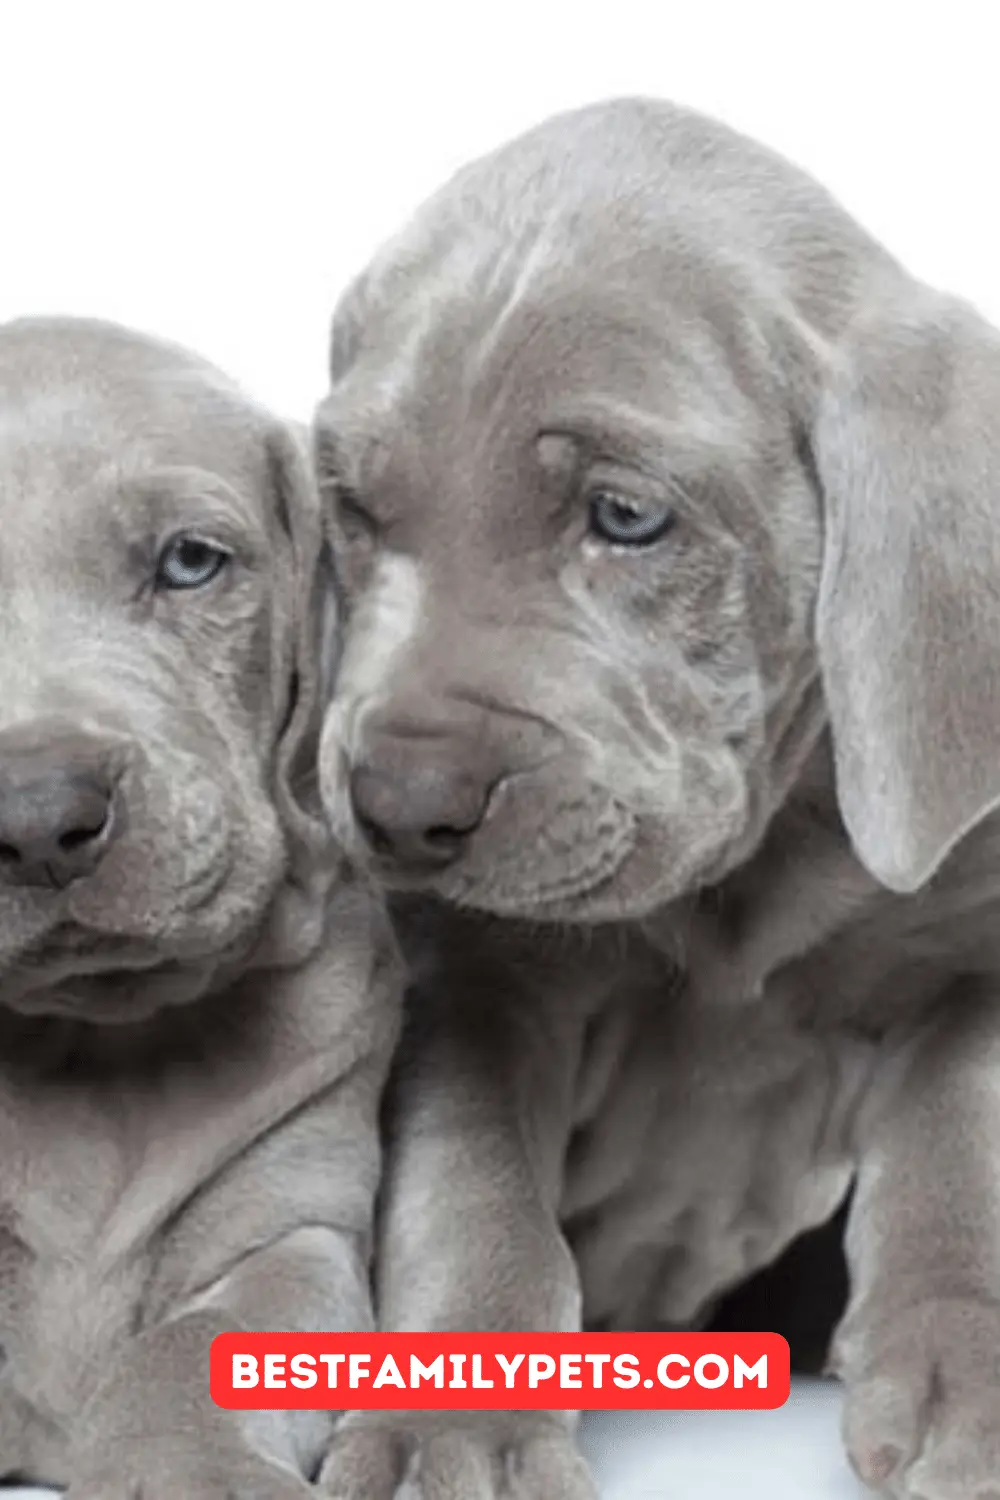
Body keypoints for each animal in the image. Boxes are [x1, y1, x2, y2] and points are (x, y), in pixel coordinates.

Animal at [0, 319, 401, 1500]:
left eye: (189, 562)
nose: (37, 821)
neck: (90, 1039)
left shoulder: (295, 1234)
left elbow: (193, 1348)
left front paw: (179, 1467)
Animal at [313, 99, 1000, 1494]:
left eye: (625, 517)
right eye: (352, 506)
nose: (399, 802)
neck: (742, 878)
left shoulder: (963, 948)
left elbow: (961, 1141)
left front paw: (954, 1357)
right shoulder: (472, 984)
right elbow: (472, 1191)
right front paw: (451, 1422)